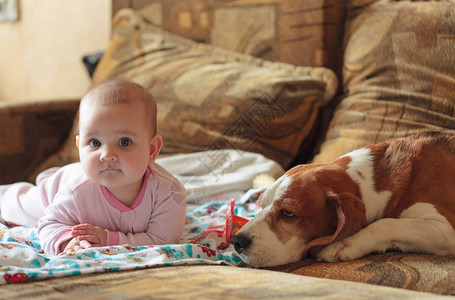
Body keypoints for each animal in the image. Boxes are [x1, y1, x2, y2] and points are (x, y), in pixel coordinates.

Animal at [232, 131, 455, 268]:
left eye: (288, 213)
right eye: (260, 205)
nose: (236, 241)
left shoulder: (445, 228)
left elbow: (385, 223)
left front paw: (346, 244)